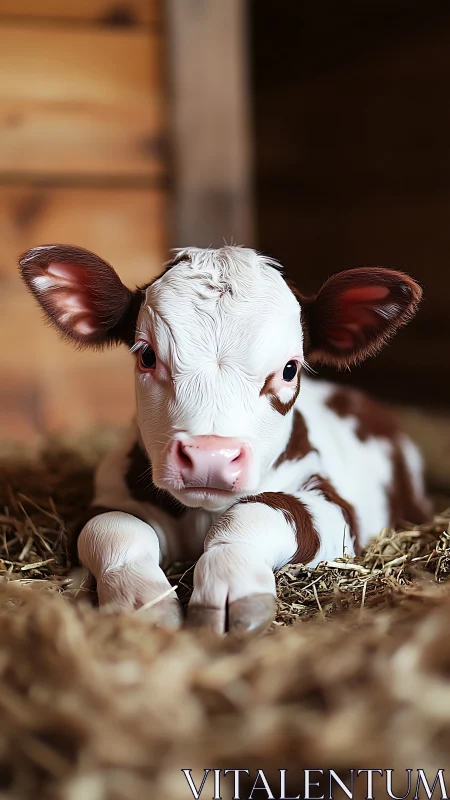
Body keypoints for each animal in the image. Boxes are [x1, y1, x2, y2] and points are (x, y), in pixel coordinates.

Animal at [19, 244, 429, 635]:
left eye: (290, 369)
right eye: (147, 356)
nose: (209, 457)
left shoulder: (336, 509)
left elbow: (254, 513)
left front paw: (234, 585)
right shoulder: (107, 497)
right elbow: (116, 528)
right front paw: (143, 600)